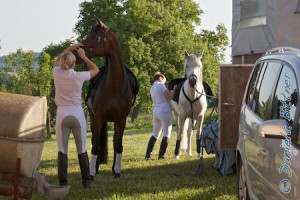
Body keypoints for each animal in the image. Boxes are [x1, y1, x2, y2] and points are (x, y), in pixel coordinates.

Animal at [80, 19, 140, 178]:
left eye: (94, 37)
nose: (79, 49)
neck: (114, 86)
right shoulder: (99, 117)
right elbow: (95, 145)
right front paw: (92, 172)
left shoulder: (121, 120)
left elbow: (118, 145)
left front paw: (117, 171)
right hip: (93, 117)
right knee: (95, 141)